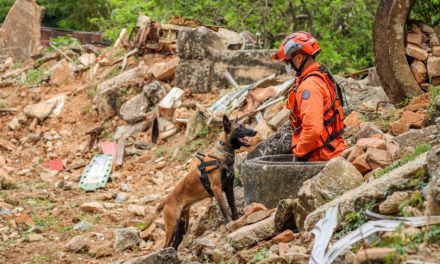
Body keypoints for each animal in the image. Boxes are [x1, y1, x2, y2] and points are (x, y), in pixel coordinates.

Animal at [143, 115, 256, 250]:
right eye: (239, 128)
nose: (254, 131)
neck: (221, 155)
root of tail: (166, 199)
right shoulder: (217, 189)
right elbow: (225, 210)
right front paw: (230, 224)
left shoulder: (229, 188)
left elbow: (233, 208)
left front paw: (237, 222)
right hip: (172, 225)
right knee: (166, 245)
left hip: (182, 225)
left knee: (175, 243)